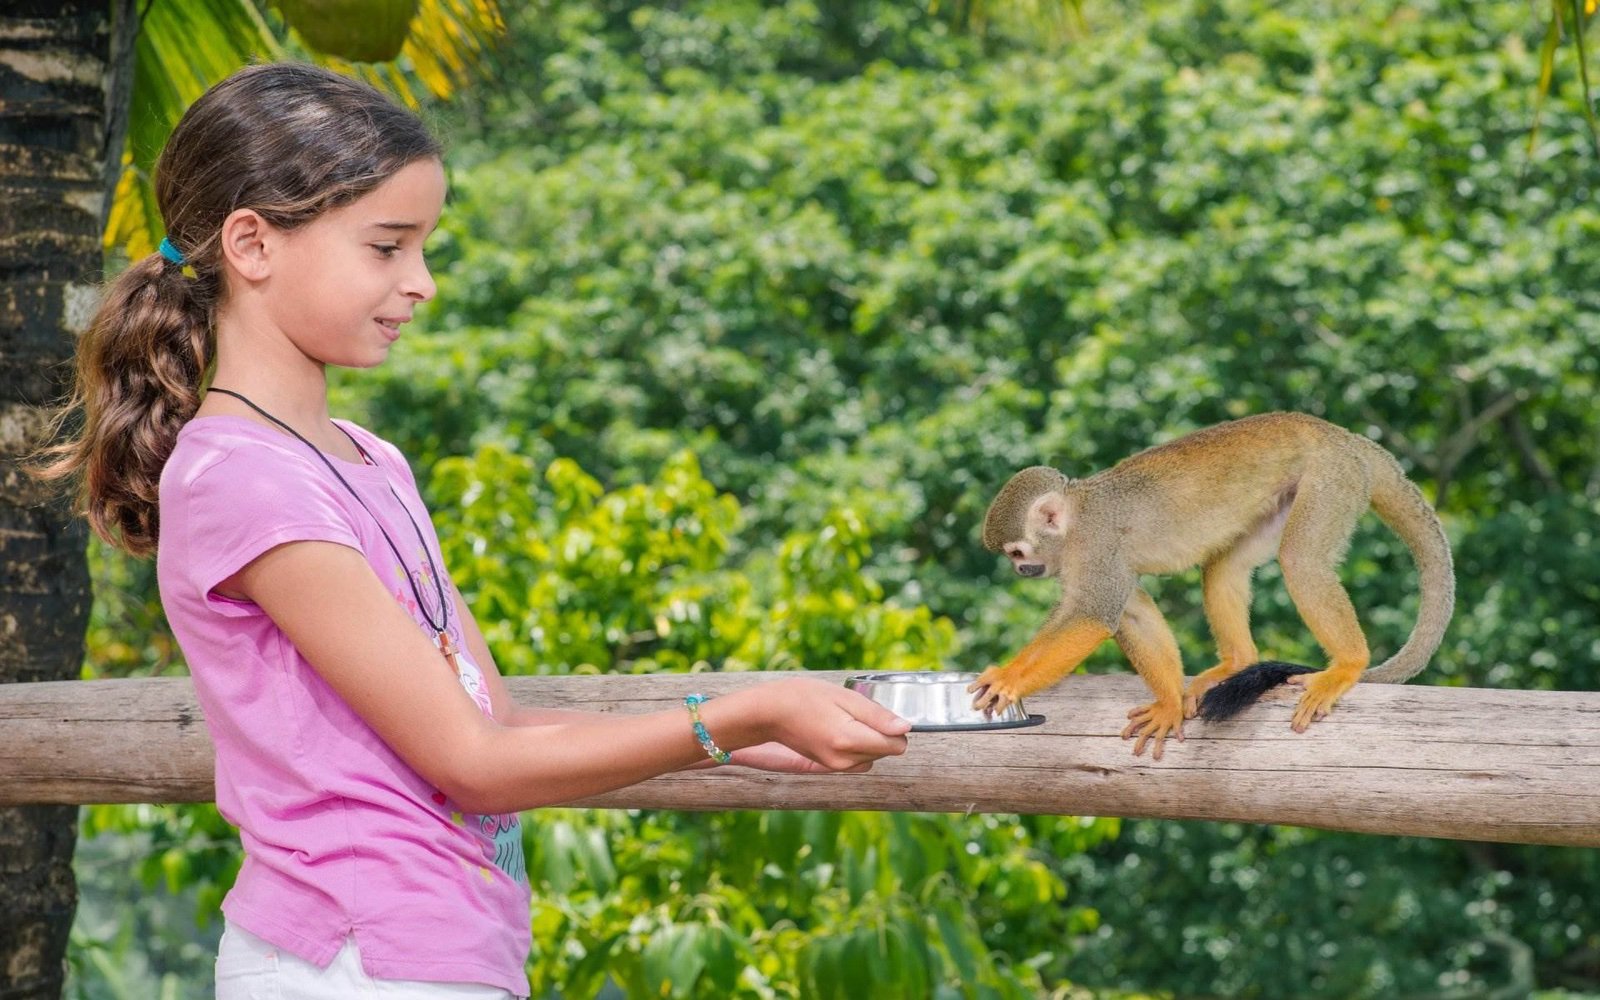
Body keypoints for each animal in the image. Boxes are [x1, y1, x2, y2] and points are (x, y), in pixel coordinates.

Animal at [969, 412, 1454, 760]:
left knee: (1300, 561)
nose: (1020, 571)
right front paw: (1167, 704)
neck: (1074, 526)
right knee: (1223, 566)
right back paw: (1237, 662)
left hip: (1332, 480)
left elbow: (1093, 616)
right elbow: (1132, 612)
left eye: (1016, 552)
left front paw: (1009, 679)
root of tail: (1345, 437)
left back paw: (1349, 665)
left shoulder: (1097, 547)